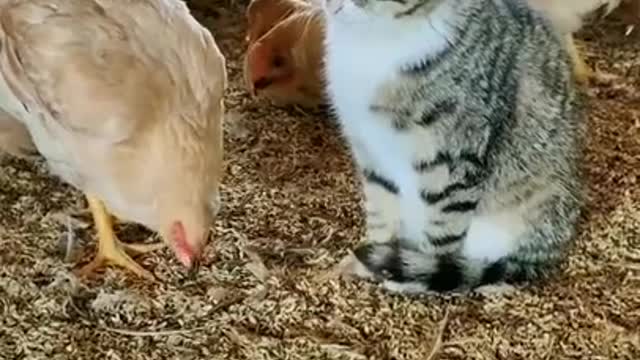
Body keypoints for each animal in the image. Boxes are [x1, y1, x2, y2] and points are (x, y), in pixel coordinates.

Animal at [322, 0, 588, 294]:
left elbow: (442, 229)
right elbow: (382, 212)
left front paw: (415, 279)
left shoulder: (454, 159)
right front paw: (369, 264)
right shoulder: (371, 151)